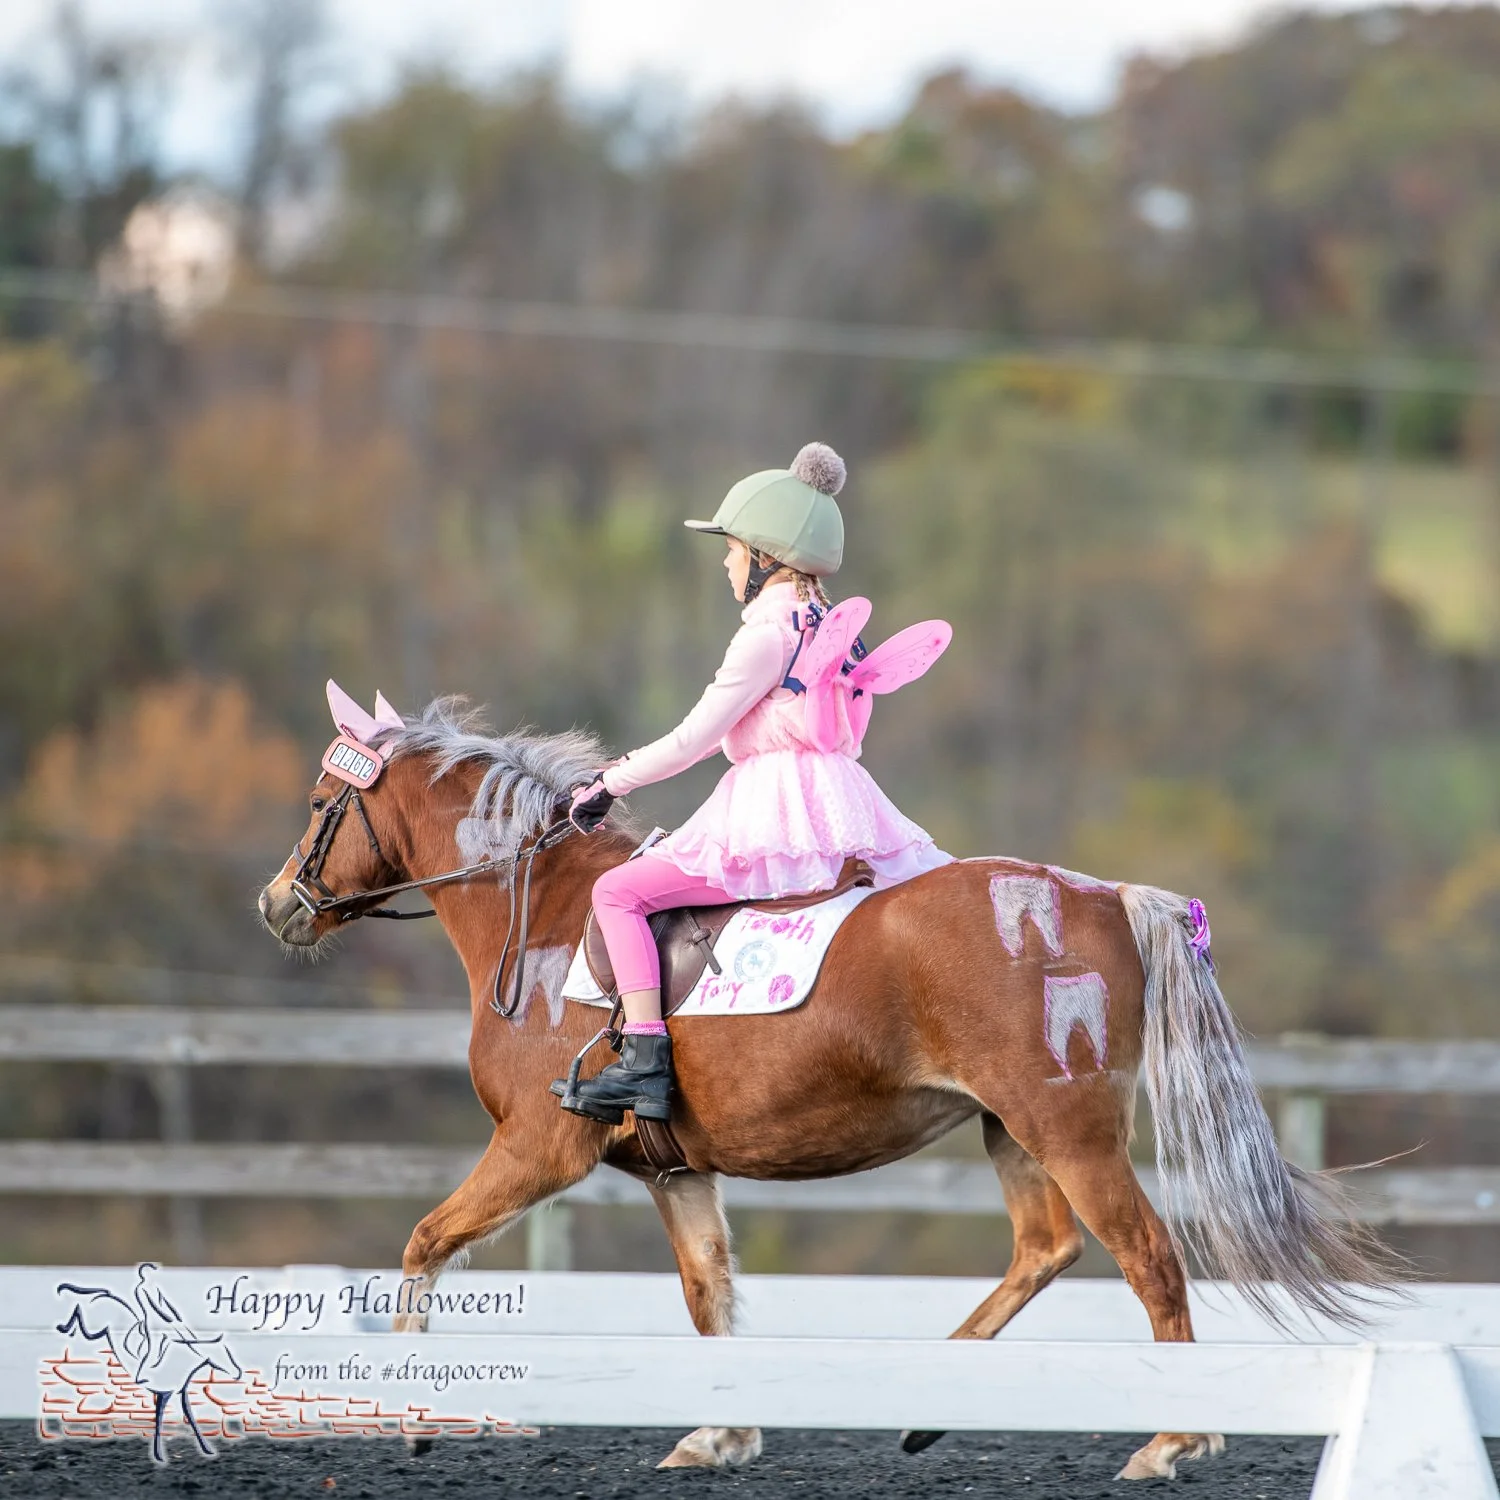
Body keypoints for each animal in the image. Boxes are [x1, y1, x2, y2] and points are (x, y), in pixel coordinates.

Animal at [56, 1265, 243, 1464]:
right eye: (222, 1353)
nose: (237, 1372)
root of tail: (105, 1298)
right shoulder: (164, 1394)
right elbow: (159, 1419)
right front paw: (159, 1456)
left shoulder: (181, 1392)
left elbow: (190, 1416)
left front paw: (207, 1449)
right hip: (95, 1329)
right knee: (81, 1309)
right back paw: (65, 1325)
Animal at [257, 696, 1400, 1480]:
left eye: (319, 805)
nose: (277, 904)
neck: (546, 915)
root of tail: (1102, 895)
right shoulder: (673, 1173)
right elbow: (708, 1293)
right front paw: (720, 1433)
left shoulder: (541, 1149)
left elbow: (425, 1243)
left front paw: (416, 1415)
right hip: (1011, 1128)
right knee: (1046, 1248)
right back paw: (929, 1402)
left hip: (1067, 1130)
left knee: (1148, 1258)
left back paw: (1172, 1438)